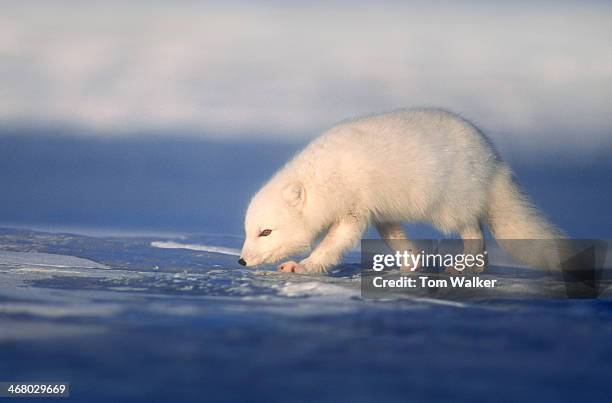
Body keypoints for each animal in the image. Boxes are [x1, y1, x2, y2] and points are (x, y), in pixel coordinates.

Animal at [238, 108, 564, 274]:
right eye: (248, 231)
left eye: (265, 232)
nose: (241, 260)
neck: (324, 178)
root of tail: (494, 160)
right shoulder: (378, 212)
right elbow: (394, 238)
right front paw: (410, 263)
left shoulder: (354, 210)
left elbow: (332, 244)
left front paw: (302, 266)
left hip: (449, 208)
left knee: (475, 234)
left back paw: (463, 268)